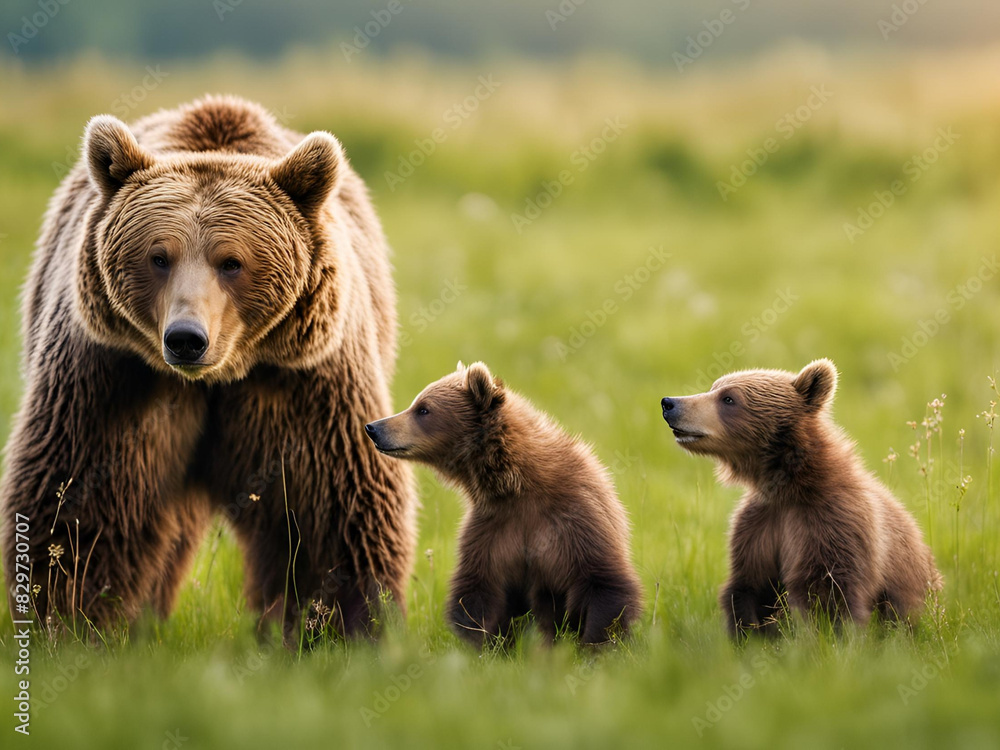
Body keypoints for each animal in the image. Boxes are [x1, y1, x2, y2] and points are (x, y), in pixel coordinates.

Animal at [0, 96, 416, 640]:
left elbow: (330, 509)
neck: (218, 378)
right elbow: (80, 498)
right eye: (158, 256)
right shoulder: (115, 374)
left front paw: (339, 625)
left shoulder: (303, 381)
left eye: (231, 262)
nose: (186, 339)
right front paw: (75, 620)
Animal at [364, 362, 643, 646]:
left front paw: (597, 643)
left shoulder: (573, 519)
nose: (373, 427)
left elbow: (603, 584)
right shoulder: (492, 529)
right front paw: (482, 643)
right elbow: (477, 593)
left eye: (423, 408)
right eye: (417, 403)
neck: (515, 485)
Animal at [660, 359, 942, 637]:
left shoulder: (831, 522)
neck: (791, 487)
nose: (669, 403)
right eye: (713, 387)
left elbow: (829, 590)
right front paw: (748, 635)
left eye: (728, 398)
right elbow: (749, 586)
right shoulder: (760, 524)